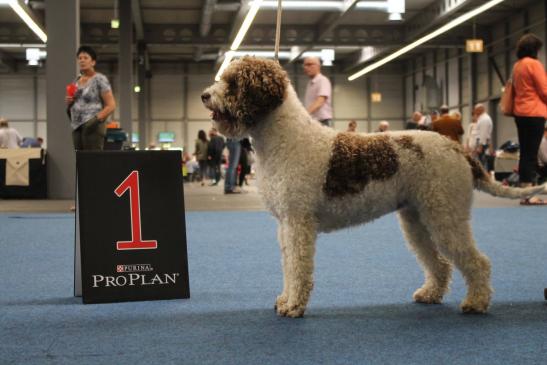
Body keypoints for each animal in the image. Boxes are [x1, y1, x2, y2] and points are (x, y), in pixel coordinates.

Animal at [202, 56, 547, 316]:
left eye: (233, 83)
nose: (205, 95)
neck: (286, 139)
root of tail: (458, 150)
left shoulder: (298, 223)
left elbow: (299, 268)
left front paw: (294, 307)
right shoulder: (286, 225)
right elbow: (289, 266)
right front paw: (285, 300)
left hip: (445, 216)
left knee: (477, 261)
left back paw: (476, 302)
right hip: (418, 219)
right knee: (440, 263)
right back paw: (430, 294)